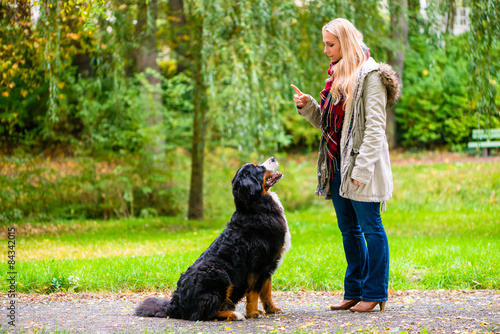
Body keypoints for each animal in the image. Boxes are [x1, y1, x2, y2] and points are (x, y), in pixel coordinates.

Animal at [135, 158, 292, 322]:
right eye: (258, 168)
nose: (273, 158)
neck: (256, 209)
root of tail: (174, 305)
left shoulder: (268, 266)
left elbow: (267, 291)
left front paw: (272, 309)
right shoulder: (258, 266)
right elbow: (254, 293)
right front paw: (253, 313)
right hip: (219, 274)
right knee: (204, 314)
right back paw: (234, 314)